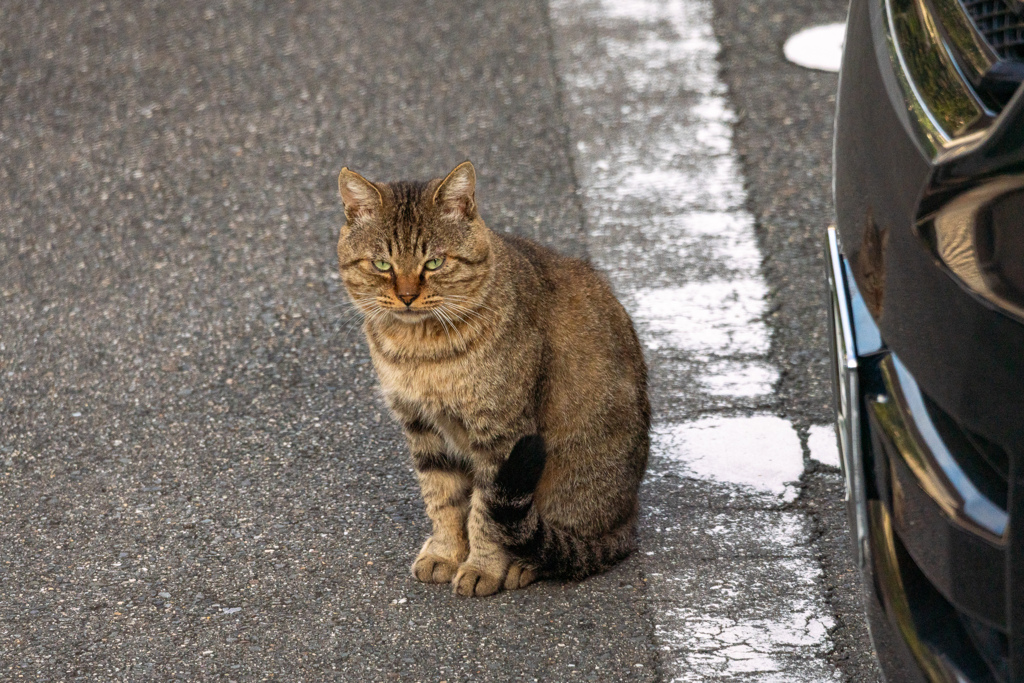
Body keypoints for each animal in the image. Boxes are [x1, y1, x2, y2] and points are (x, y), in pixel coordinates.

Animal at [339, 162, 651, 593]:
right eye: (382, 265)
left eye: (434, 263)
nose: (406, 296)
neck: (421, 351)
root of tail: (630, 517)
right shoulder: (422, 429)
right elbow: (442, 500)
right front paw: (445, 554)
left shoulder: (502, 438)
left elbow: (485, 513)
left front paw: (481, 568)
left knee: (559, 541)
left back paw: (525, 564)